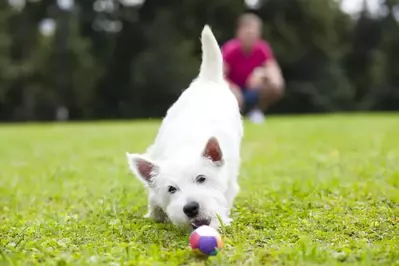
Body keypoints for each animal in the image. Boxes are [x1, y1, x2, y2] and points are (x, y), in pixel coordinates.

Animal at [126, 25, 244, 230]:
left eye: (201, 179)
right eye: (172, 189)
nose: (191, 208)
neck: (184, 147)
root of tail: (208, 80)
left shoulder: (229, 181)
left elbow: (224, 199)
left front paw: (222, 218)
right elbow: (154, 197)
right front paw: (155, 214)